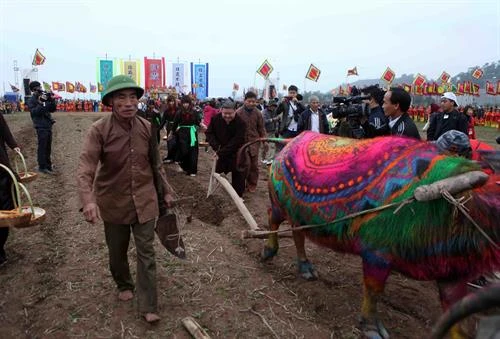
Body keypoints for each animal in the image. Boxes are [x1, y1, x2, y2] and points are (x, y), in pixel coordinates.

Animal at [240, 132, 498, 339]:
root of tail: (290, 140)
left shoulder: (451, 272)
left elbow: (456, 317)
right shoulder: (377, 255)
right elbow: (373, 292)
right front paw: (370, 327)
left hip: (299, 215)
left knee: (297, 236)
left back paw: (305, 267)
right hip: (278, 202)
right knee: (272, 219)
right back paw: (268, 251)